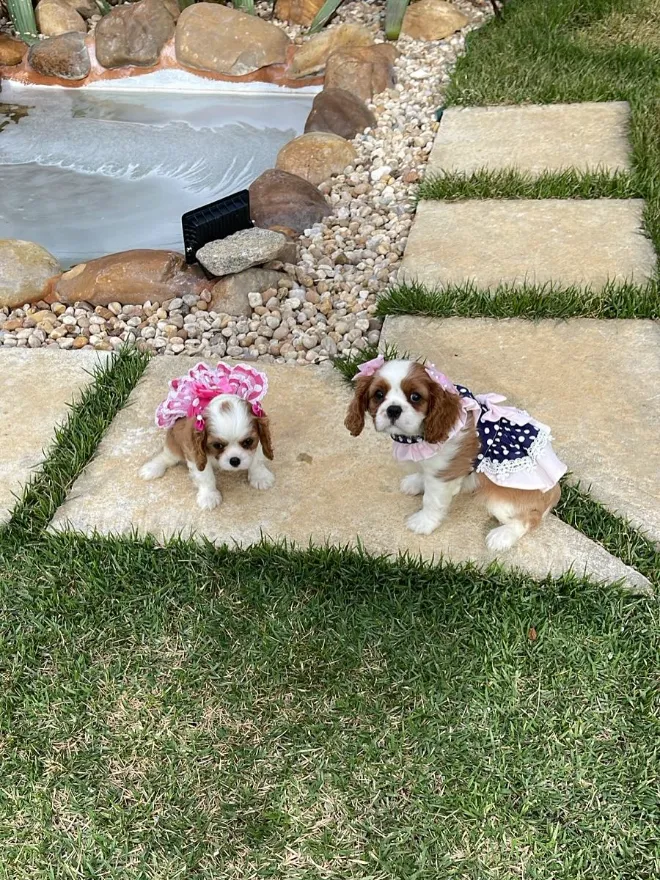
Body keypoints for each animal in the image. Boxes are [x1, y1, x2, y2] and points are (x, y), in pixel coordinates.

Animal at [140, 362, 274, 510]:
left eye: (248, 441)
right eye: (217, 445)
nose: (235, 460)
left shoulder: (260, 438)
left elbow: (257, 460)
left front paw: (260, 477)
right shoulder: (194, 453)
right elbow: (205, 476)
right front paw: (208, 496)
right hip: (174, 442)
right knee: (167, 456)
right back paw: (153, 468)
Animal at [344, 356, 566, 551]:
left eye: (416, 397)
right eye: (378, 395)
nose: (393, 409)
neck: (419, 437)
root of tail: (555, 490)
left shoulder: (443, 475)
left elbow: (432, 501)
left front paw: (423, 522)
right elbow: (423, 472)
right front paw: (416, 482)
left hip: (501, 499)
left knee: (529, 519)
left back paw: (502, 536)